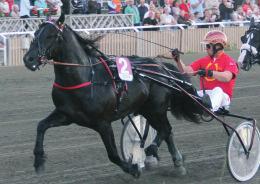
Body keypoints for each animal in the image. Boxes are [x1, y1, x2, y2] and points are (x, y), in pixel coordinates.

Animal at [23, 13, 202, 178]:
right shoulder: (66, 114)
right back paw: (175, 161)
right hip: (146, 109)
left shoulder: (103, 123)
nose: (28, 59)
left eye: (50, 35)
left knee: (166, 129)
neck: (86, 78)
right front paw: (38, 161)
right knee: (166, 132)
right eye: (35, 33)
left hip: (155, 108)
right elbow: (41, 126)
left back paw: (153, 151)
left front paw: (133, 168)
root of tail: (161, 66)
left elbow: (113, 154)